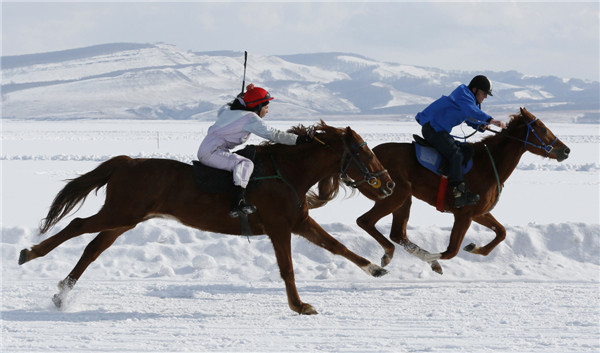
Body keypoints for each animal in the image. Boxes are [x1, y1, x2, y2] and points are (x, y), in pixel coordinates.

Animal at [17, 121, 394, 314]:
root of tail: (128, 161)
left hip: (125, 220)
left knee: (92, 249)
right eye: (365, 152)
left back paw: (62, 294)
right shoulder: (278, 227)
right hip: (120, 212)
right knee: (78, 226)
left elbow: (337, 246)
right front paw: (299, 305)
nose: (389, 183)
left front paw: (374, 268)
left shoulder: (299, 222)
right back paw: (30, 253)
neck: (287, 172)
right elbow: (287, 268)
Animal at [312, 108, 568, 274]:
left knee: (397, 233)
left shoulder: (478, 212)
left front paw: (475, 247)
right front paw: (435, 258)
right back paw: (393, 254)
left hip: (404, 198)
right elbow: (451, 250)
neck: (488, 163)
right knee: (366, 221)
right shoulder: (464, 214)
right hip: (395, 194)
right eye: (542, 128)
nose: (566, 150)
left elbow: (501, 232)